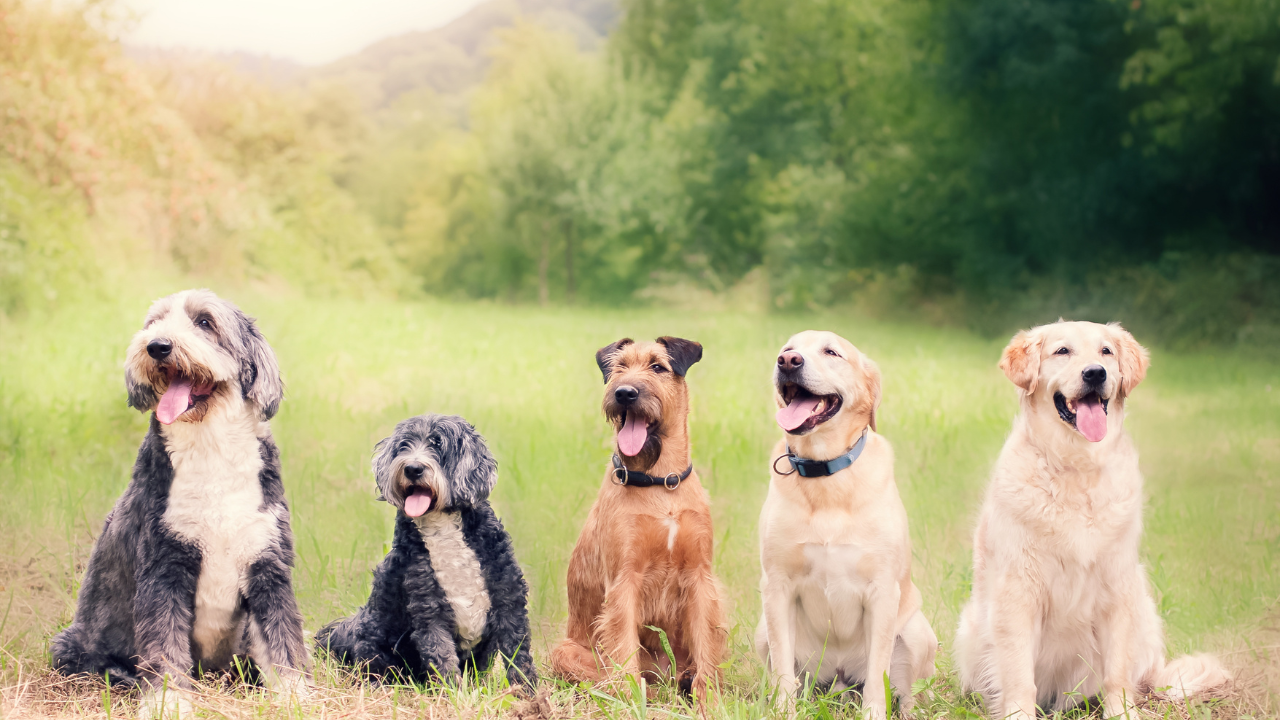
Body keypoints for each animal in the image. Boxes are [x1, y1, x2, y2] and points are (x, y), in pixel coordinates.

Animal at [48, 288, 309, 712]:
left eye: (204, 322)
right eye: (154, 322)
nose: (157, 346)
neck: (211, 446)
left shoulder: (267, 565)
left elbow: (283, 639)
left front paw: (295, 697)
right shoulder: (163, 567)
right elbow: (164, 645)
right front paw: (167, 703)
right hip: (71, 644)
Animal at [320, 412, 540, 686]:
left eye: (438, 444)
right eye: (404, 445)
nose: (413, 468)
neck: (442, 526)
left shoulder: (508, 598)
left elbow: (518, 653)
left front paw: (527, 691)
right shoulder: (428, 609)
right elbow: (441, 657)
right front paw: (453, 693)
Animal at [550, 338, 732, 702]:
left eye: (657, 367)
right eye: (619, 367)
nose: (624, 393)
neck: (660, 482)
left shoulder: (700, 577)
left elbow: (706, 646)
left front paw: (709, 700)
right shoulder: (625, 579)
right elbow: (623, 649)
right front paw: (630, 699)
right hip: (564, 651)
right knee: (601, 673)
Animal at [752, 330, 936, 712]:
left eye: (831, 352)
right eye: (787, 350)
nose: (788, 362)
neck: (825, 473)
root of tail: (838, 680)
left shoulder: (883, 590)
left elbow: (878, 676)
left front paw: (874, 714)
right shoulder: (776, 586)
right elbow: (783, 672)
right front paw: (783, 712)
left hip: (916, 632)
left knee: (908, 692)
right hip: (763, 630)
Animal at [962, 320, 1228, 717]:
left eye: (1106, 352)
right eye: (1062, 351)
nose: (1095, 373)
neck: (1077, 466)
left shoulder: (1117, 587)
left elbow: (1117, 672)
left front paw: (1122, 712)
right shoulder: (1018, 590)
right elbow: (1018, 673)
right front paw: (1018, 712)